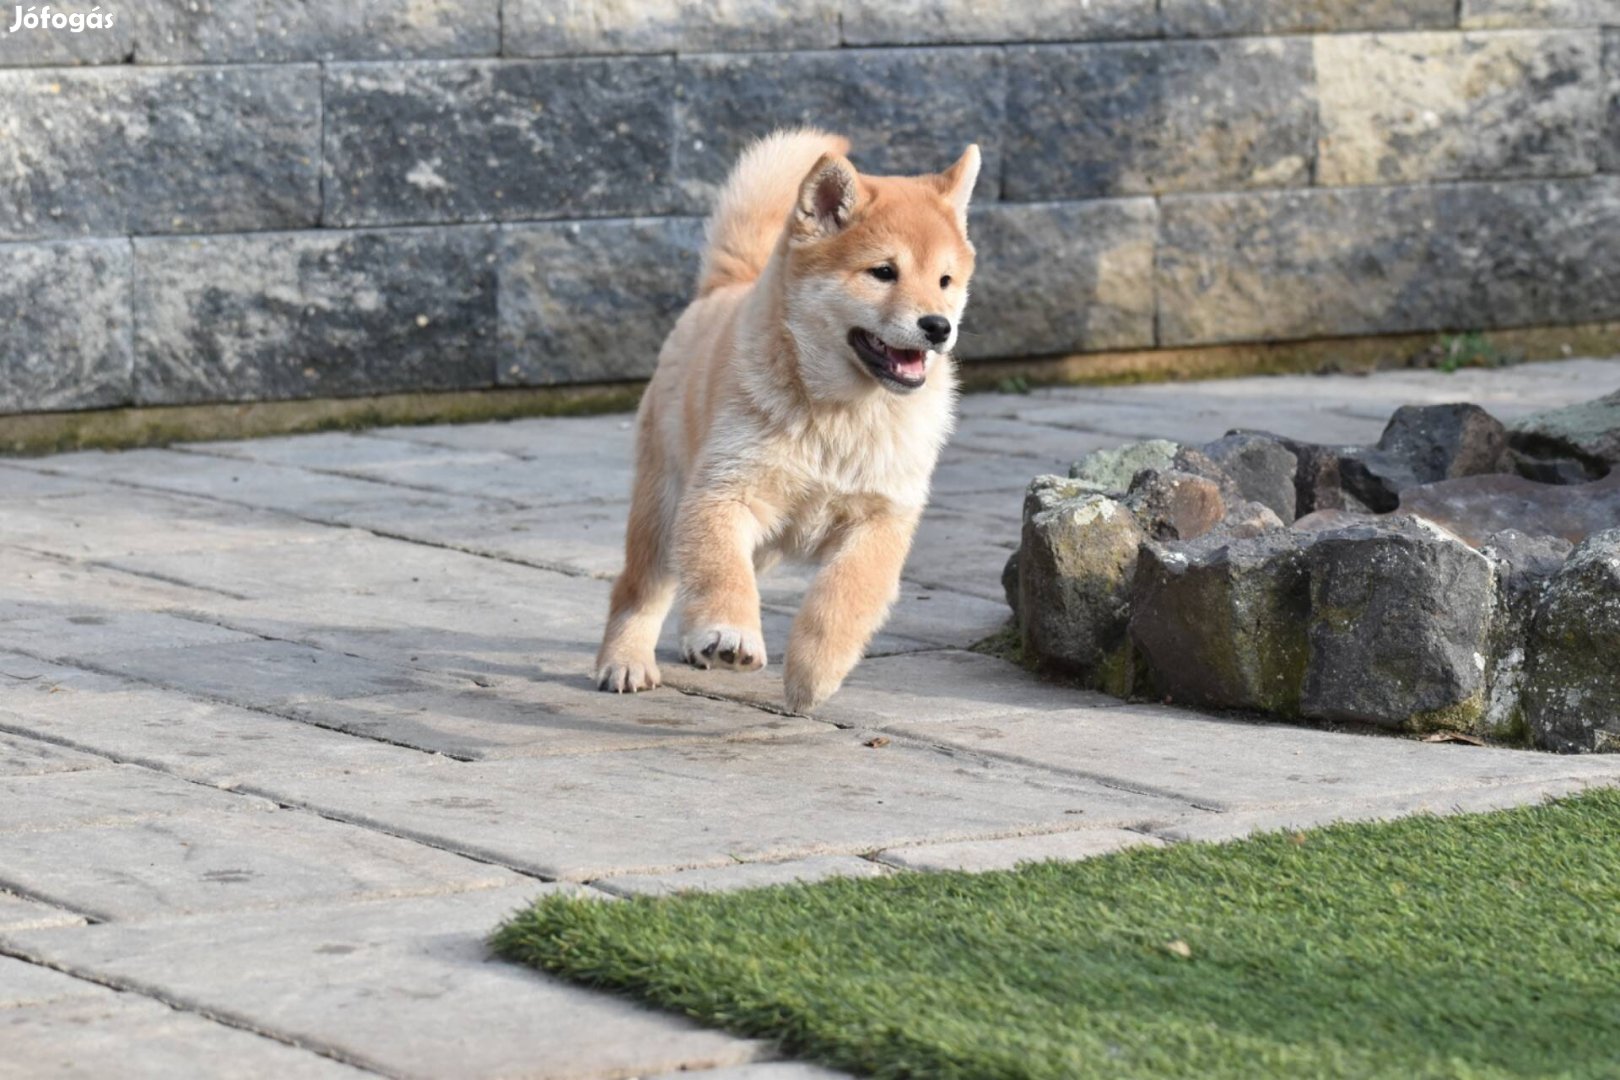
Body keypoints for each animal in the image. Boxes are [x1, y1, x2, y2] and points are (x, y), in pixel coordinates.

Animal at [592, 127, 972, 712]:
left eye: (946, 280)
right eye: (883, 272)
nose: (938, 326)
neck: (841, 413)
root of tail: (723, 286)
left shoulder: (882, 517)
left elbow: (843, 596)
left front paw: (816, 671)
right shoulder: (722, 493)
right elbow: (723, 574)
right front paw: (730, 632)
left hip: (762, 540)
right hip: (664, 500)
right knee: (642, 587)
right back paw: (626, 660)